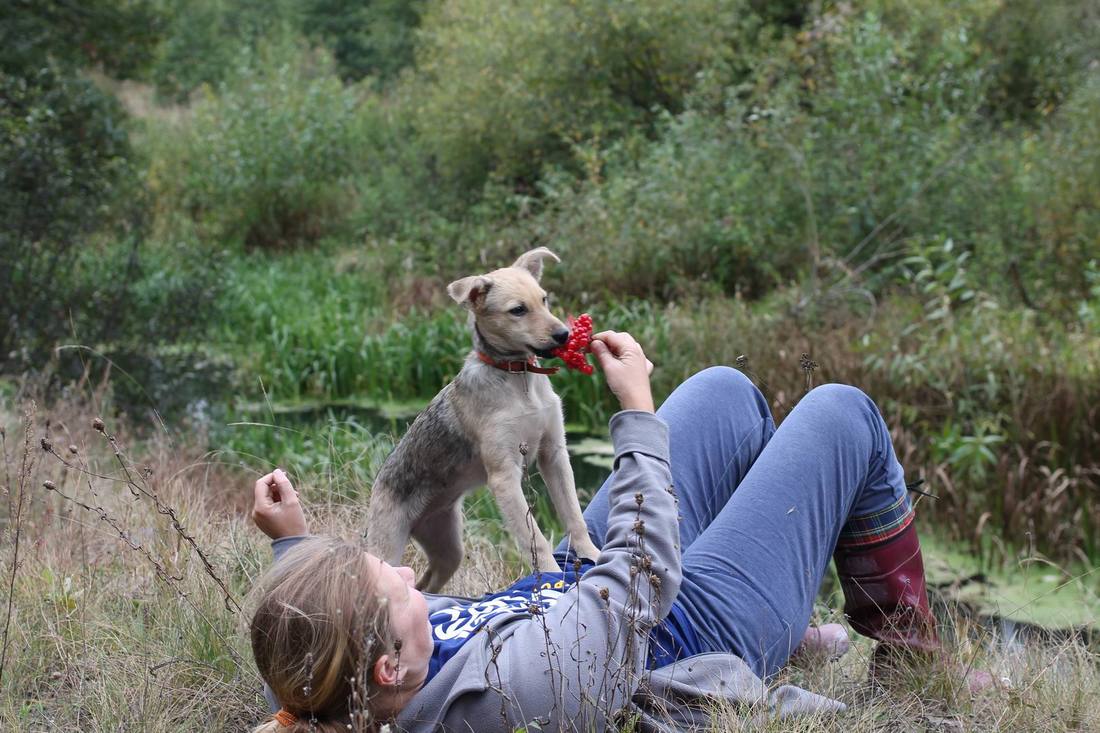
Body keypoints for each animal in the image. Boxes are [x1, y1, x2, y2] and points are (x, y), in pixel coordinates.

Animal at [365, 248, 598, 589]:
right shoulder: (504, 475)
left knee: (425, 584)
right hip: (388, 547)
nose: (563, 334)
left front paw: (593, 554)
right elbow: (536, 539)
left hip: (447, 546)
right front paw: (552, 575)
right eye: (518, 310)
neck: (519, 379)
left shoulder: (553, 455)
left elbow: (575, 517)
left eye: (544, 299)